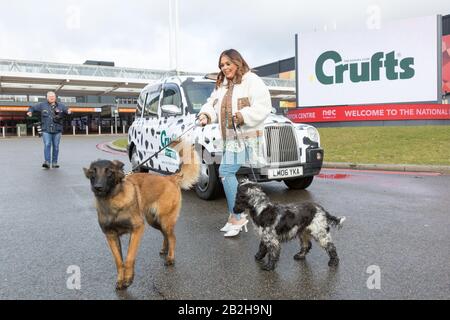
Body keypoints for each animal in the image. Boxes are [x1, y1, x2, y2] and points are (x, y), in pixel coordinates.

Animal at [83, 144, 199, 288]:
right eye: (93, 173)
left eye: (109, 172)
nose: (98, 187)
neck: (113, 202)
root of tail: (170, 178)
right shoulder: (111, 236)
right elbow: (118, 261)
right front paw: (120, 279)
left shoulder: (137, 229)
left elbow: (129, 257)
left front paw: (128, 278)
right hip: (154, 221)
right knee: (166, 235)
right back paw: (165, 249)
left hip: (164, 221)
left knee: (173, 237)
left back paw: (170, 258)